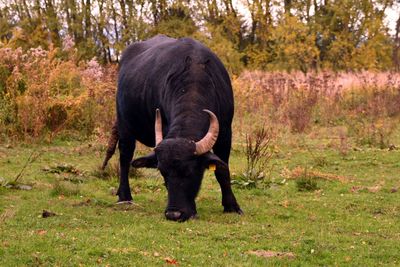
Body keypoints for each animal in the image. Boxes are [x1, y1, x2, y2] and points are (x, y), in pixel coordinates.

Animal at [101, 34, 242, 222]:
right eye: (163, 172)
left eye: (190, 172)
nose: (174, 214)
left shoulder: (226, 133)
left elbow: (223, 171)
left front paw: (231, 206)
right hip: (124, 125)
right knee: (124, 158)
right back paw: (124, 196)